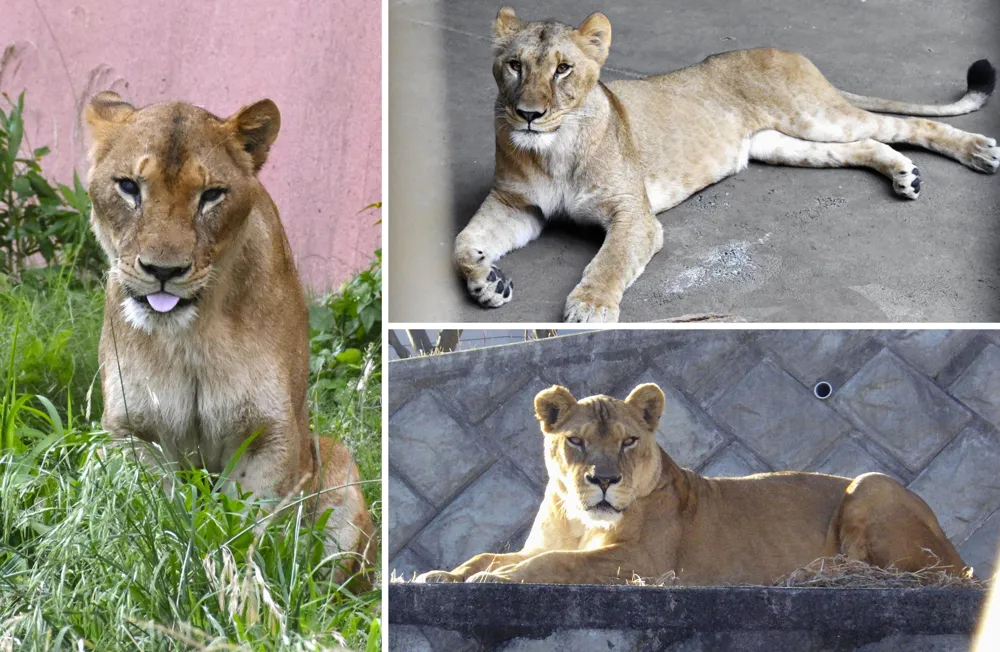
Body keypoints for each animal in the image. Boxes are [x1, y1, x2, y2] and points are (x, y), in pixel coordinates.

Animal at [85, 91, 375, 585]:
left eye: (211, 195)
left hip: (335, 460)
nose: (163, 271)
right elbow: (153, 515)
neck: (191, 336)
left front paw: (241, 582)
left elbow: (249, 528)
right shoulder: (133, 432)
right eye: (128, 187)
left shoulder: (270, 434)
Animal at [414, 383, 967, 585]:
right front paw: (443, 575)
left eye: (629, 441)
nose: (603, 480)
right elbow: (490, 554)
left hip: (871, 483)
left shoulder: (644, 563)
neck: (578, 518)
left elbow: (555, 564)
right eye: (575, 441)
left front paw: (494, 581)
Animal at [454, 7, 999, 323]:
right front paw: (489, 282)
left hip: (817, 116)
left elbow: (610, 261)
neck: (554, 149)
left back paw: (978, 152)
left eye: (563, 69)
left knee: (904, 124)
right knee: (866, 143)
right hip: (784, 144)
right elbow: (462, 244)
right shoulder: (517, 205)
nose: (528, 114)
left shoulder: (634, 214)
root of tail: (785, 49)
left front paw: (590, 308)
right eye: (515, 65)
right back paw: (905, 174)